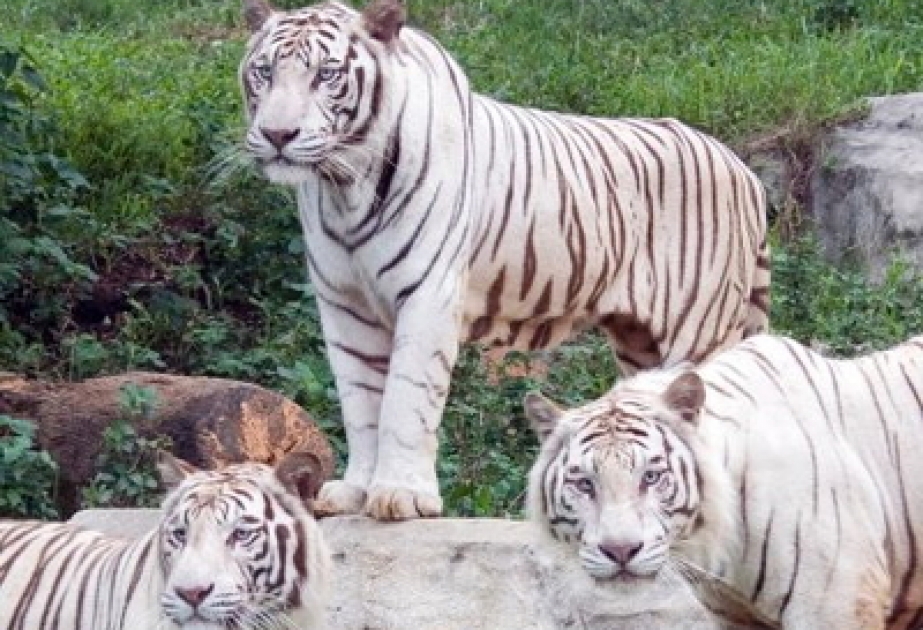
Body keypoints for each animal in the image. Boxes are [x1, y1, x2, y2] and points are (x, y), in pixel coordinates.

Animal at [239, 0, 771, 520]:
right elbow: (361, 401)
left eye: (326, 74)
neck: (344, 185)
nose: (278, 134)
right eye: (264, 72)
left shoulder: (427, 294)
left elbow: (405, 399)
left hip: (698, 328)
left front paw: (401, 494)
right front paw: (354, 491)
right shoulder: (345, 305)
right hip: (639, 341)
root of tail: (742, 169)